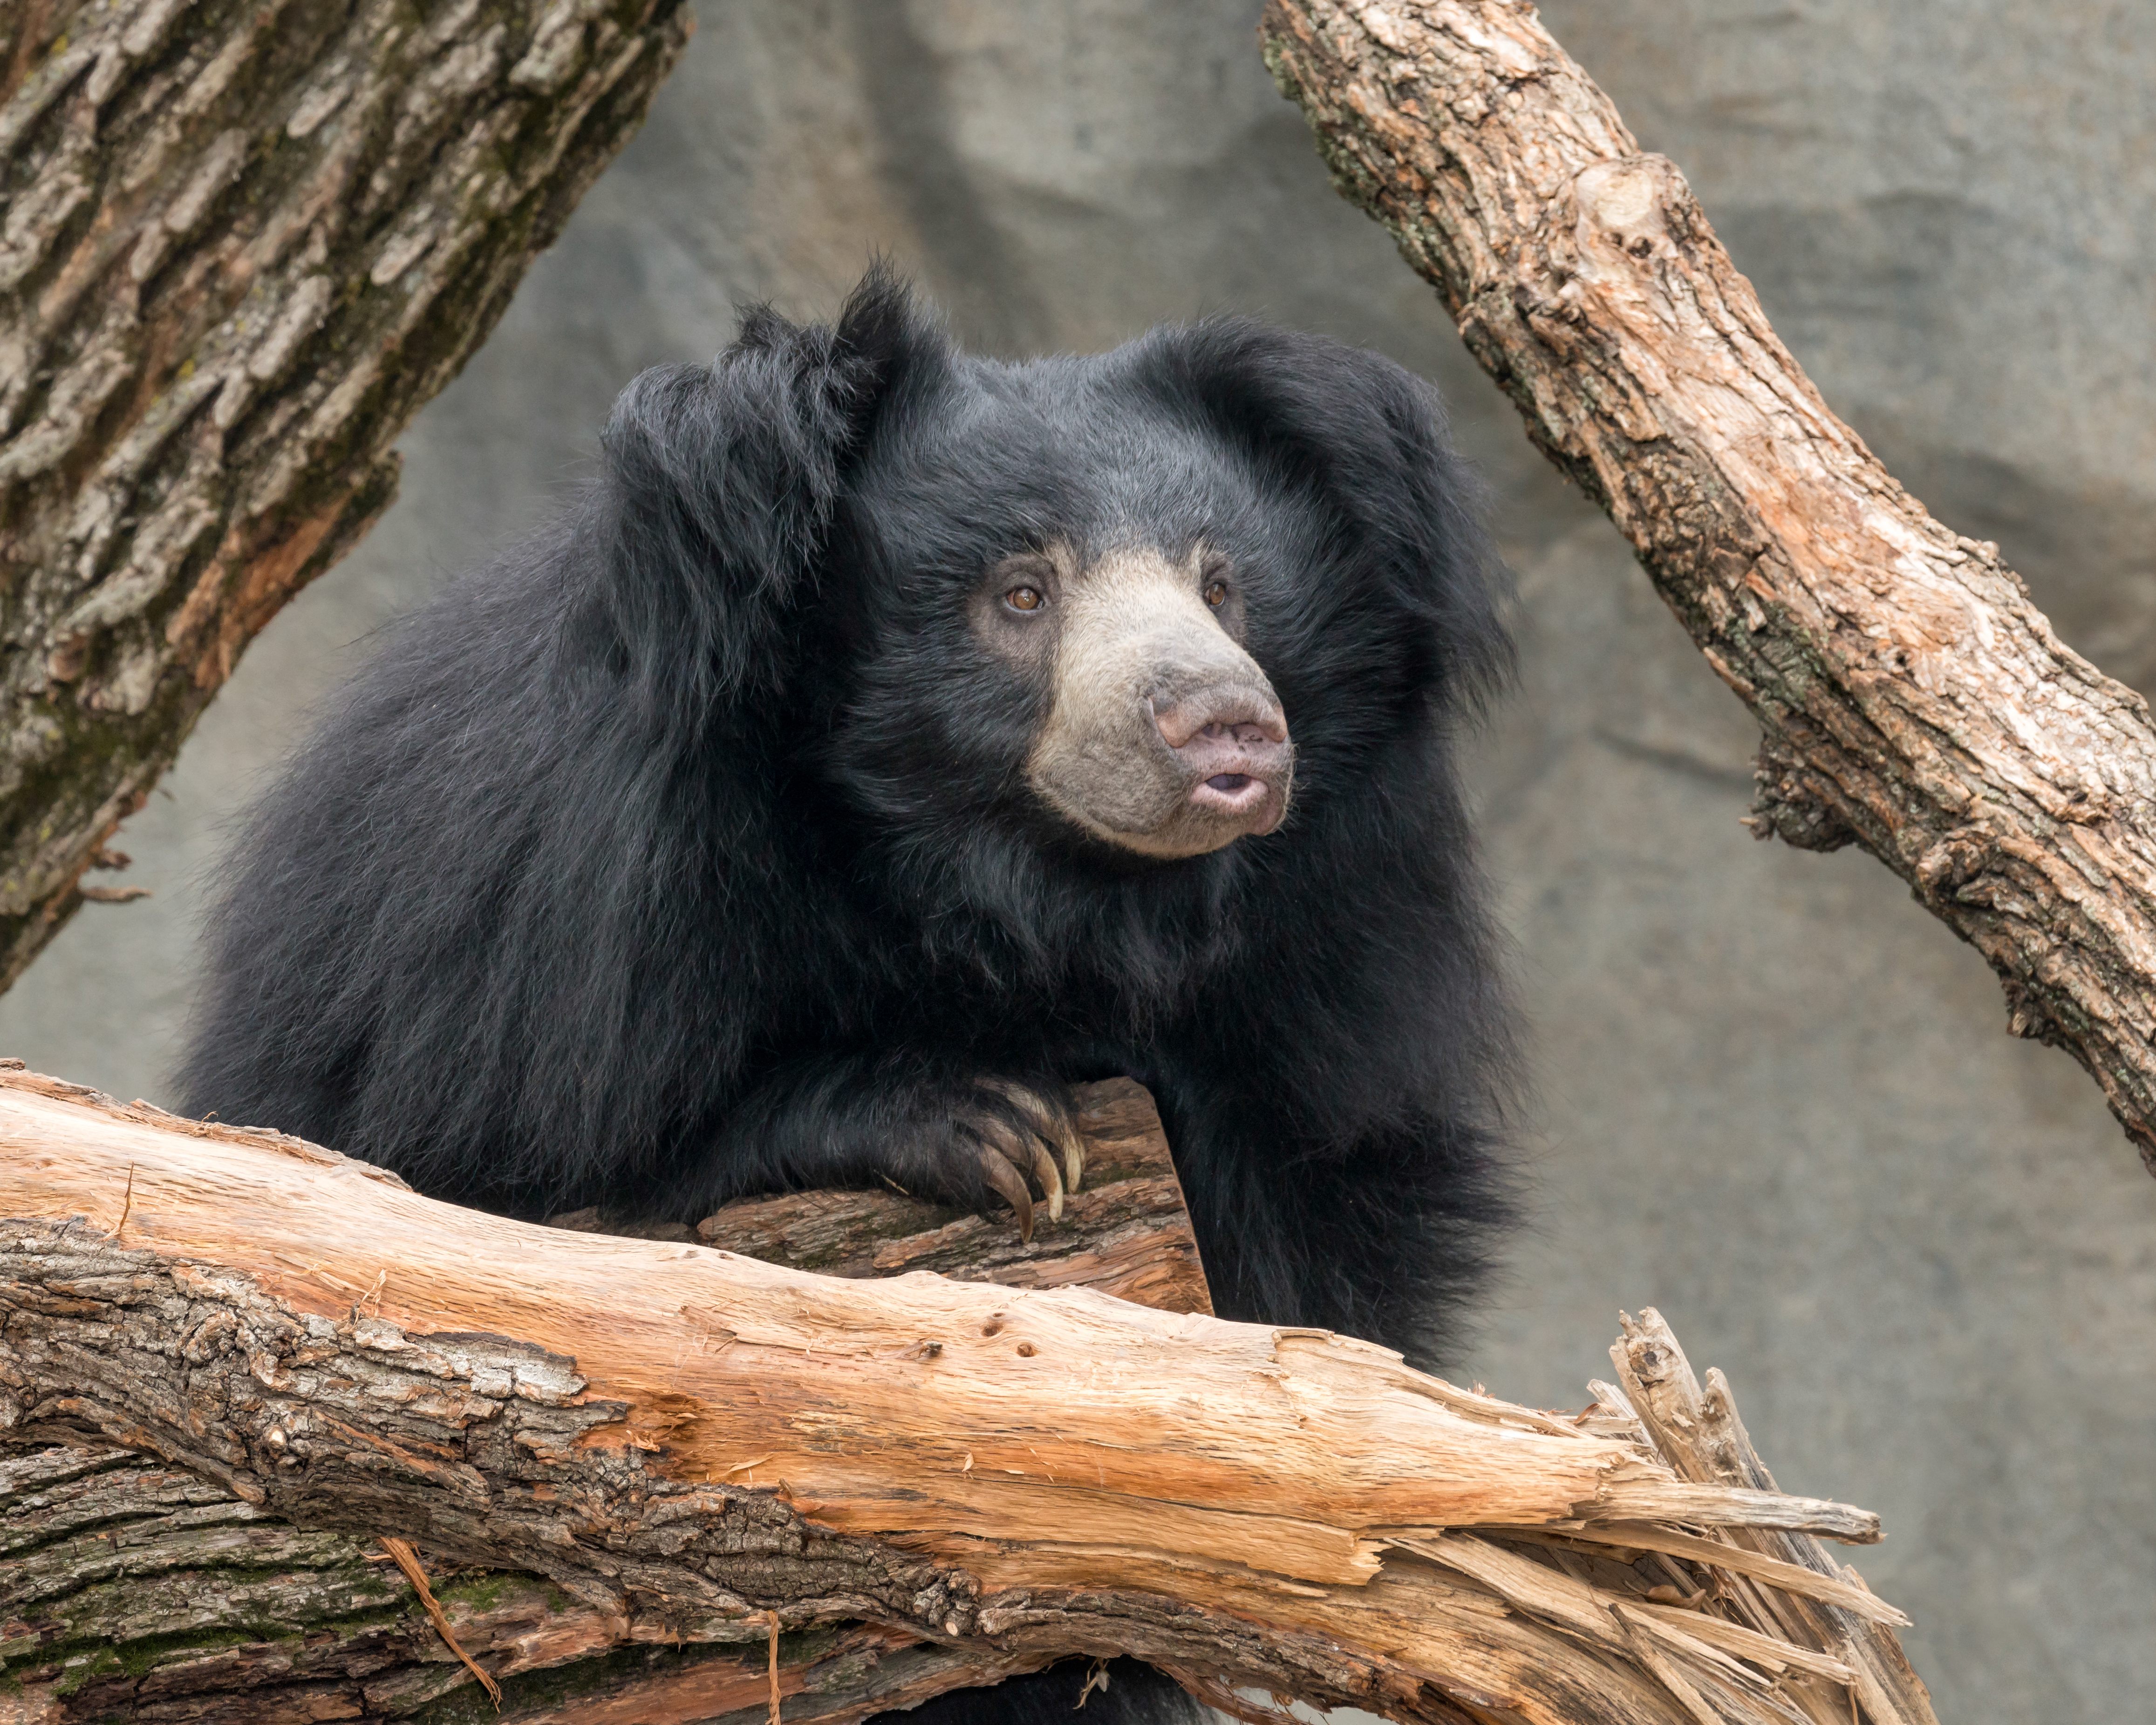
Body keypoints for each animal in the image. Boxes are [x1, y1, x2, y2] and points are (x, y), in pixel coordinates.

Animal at [177, 269, 1518, 1725]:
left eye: (1224, 584)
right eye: (1020, 591)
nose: (1228, 730)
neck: (1012, 894)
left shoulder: (1328, 961)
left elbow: (1312, 1243)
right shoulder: (517, 939)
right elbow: (512, 1209)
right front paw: (984, 1127)